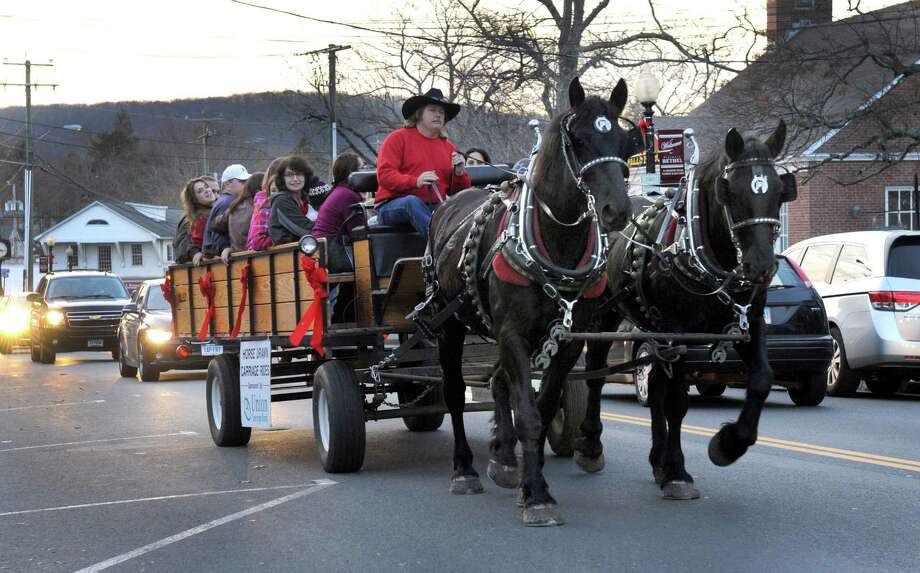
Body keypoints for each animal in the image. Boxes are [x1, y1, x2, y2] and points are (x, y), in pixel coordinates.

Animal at [426, 78, 636, 524]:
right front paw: (537, 493)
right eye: (578, 139)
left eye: (624, 141)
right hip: (448, 324)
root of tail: (446, 203)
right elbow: (528, 413)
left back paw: (504, 458)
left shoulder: (569, 338)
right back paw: (464, 468)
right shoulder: (512, 333)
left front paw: (527, 479)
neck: (556, 244)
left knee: (497, 382)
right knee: (454, 391)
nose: (616, 210)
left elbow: (544, 402)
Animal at [584, 120, 796, 496]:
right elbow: (678, 403)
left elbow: (761, 380)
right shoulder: (679, 331)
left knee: (653, 387)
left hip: (652, 329)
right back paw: (592, 446)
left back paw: (656, 459)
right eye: (732, 193)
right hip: (604, 317)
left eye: (778, 192)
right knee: (595, 376)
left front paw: (729, 443)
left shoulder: (749, 322)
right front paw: (677, 472)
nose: (761, 266)